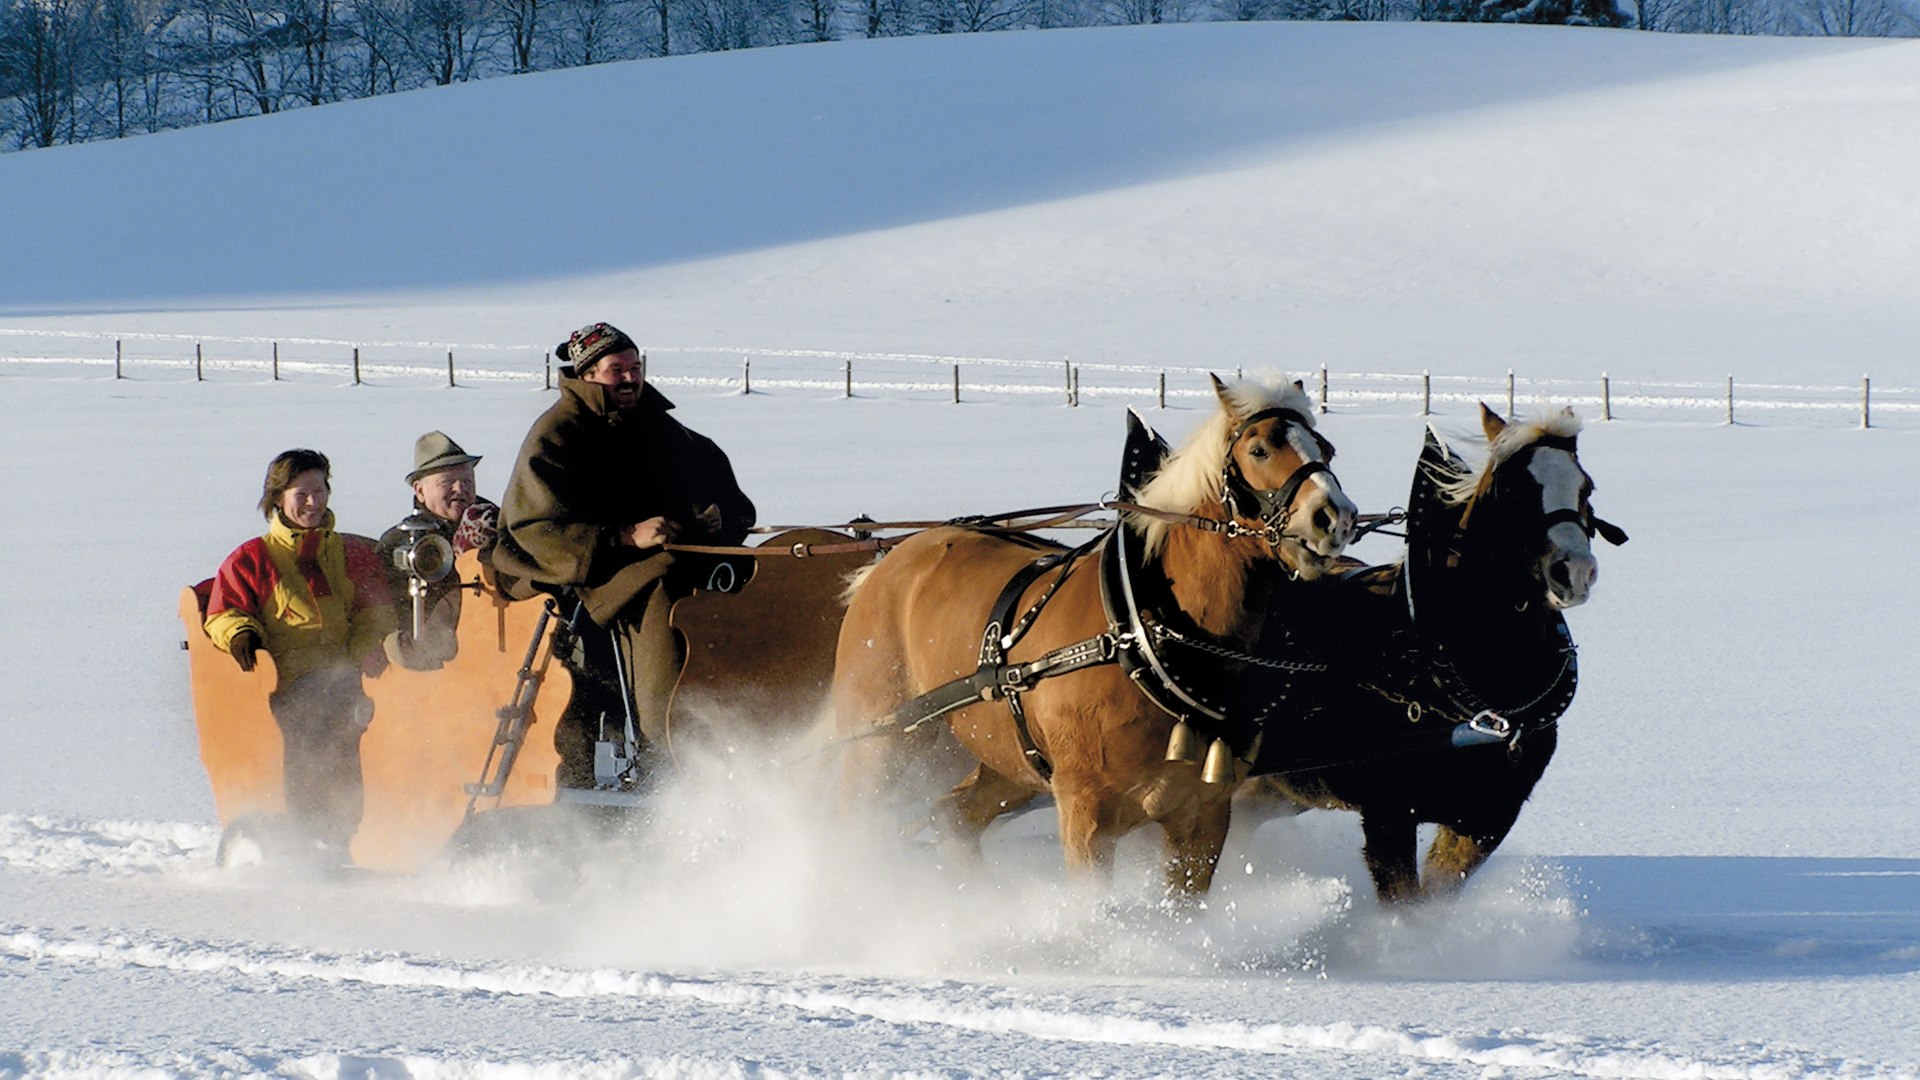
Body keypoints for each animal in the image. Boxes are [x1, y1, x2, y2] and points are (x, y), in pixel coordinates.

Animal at [833, 374, 1359, 895]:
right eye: (1259, 449)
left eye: (1327, 450)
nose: (1335, 518)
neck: (1136, 639)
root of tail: (888, 562)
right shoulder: (1087, 814)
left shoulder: (1203, 818)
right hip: (881, 735)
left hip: (1009, 756)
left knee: (954, 815)